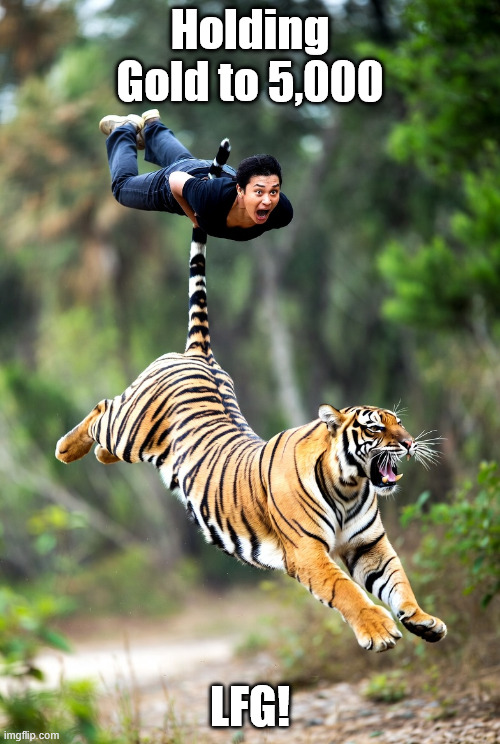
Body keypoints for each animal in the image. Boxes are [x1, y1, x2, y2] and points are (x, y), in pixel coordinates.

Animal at [56, 231, 447, 652]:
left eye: (400, 423)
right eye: (375, 429)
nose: (410, 444)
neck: (350, 485)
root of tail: (198, 355)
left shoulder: (368, 545)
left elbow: (398, 581)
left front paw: (424, 621)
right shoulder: (308, 552)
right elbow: (344, 590)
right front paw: (378, 630)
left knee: (105, 433)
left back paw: (97, 455)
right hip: (130, 427)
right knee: (102, 408)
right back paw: (66, 449)